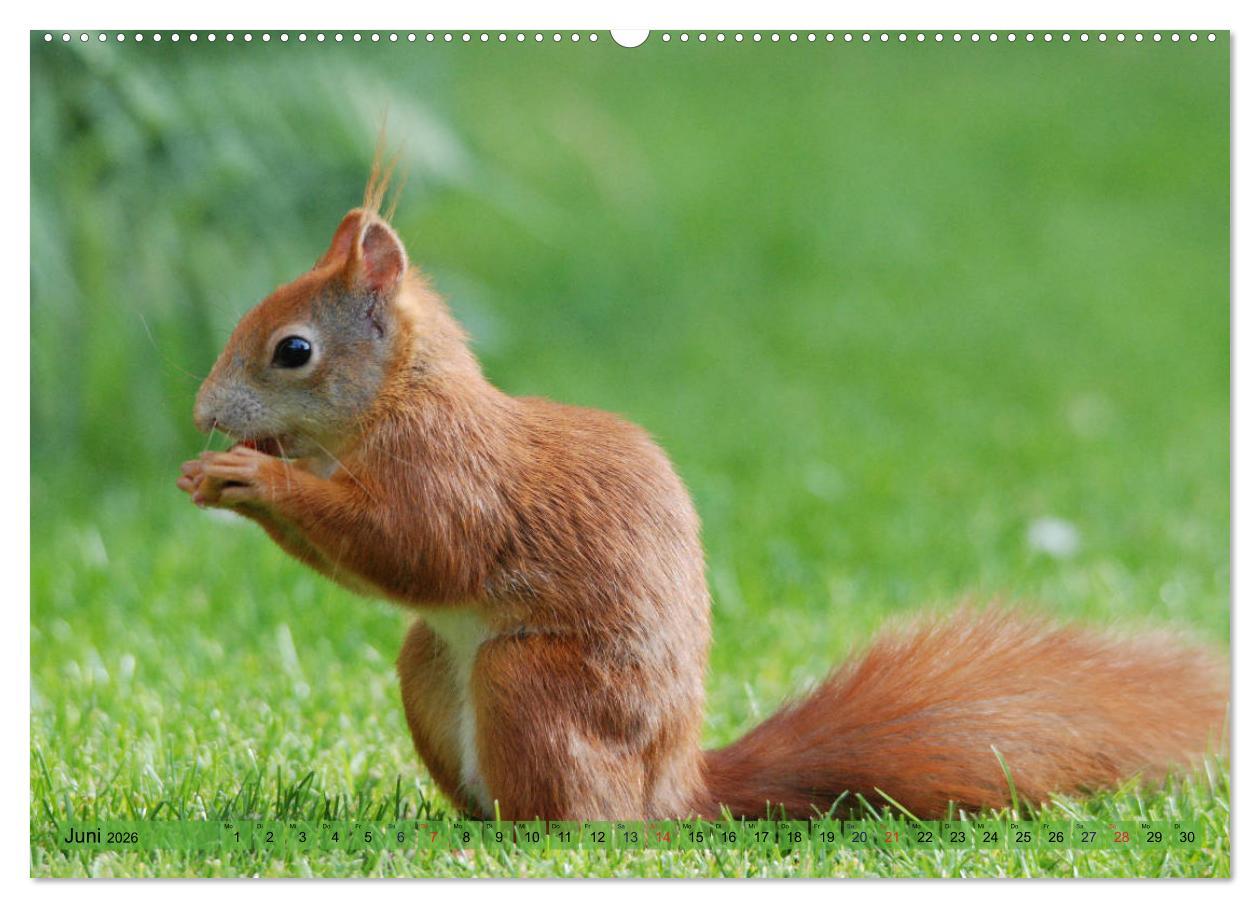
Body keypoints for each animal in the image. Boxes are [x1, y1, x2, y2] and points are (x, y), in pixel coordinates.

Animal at [178, 161, 1228, 822]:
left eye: (293, 351)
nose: (201, 414)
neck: (402, 401)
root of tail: (677, 788)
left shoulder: (451, 475)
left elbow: (412, 547)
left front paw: (251, 474)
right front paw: (216, 474)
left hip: (532, 682)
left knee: (586, 818)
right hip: (428, 665)